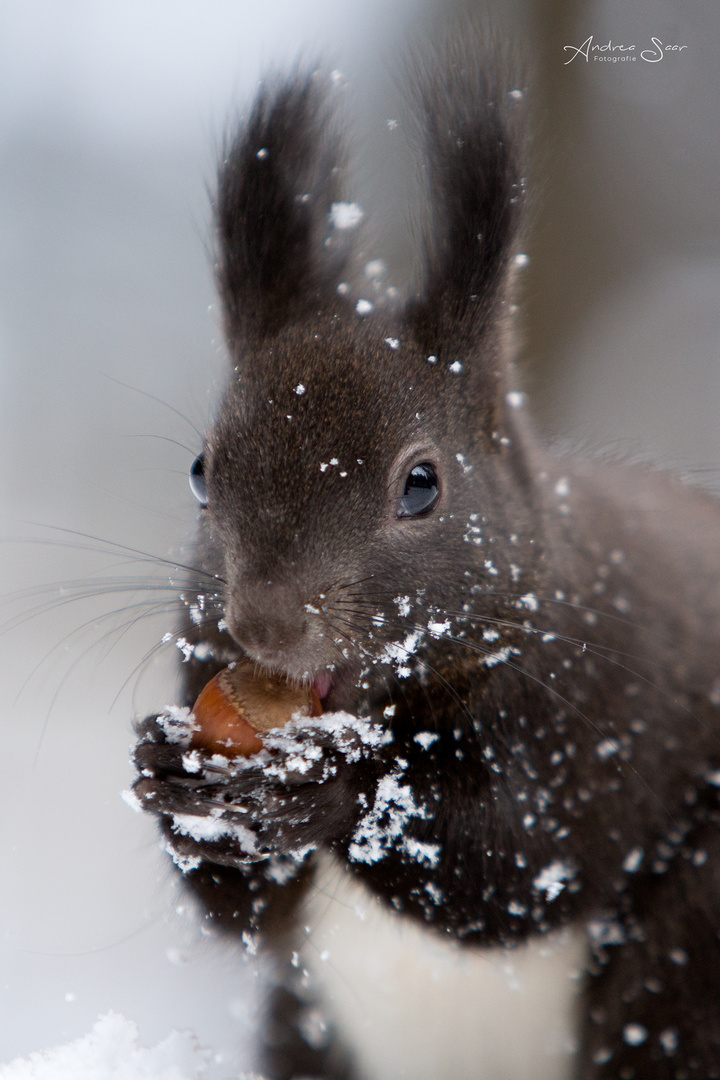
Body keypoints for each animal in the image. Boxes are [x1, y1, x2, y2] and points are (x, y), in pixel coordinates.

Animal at [132, 31, 720, 1080]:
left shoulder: (602, 724)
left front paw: (334, 784)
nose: (264, 624)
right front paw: (173, 776)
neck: (399, 710)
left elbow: (509, 867)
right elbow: (247, 912)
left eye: (421, 485)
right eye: (202, 472)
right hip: (306, 1029)